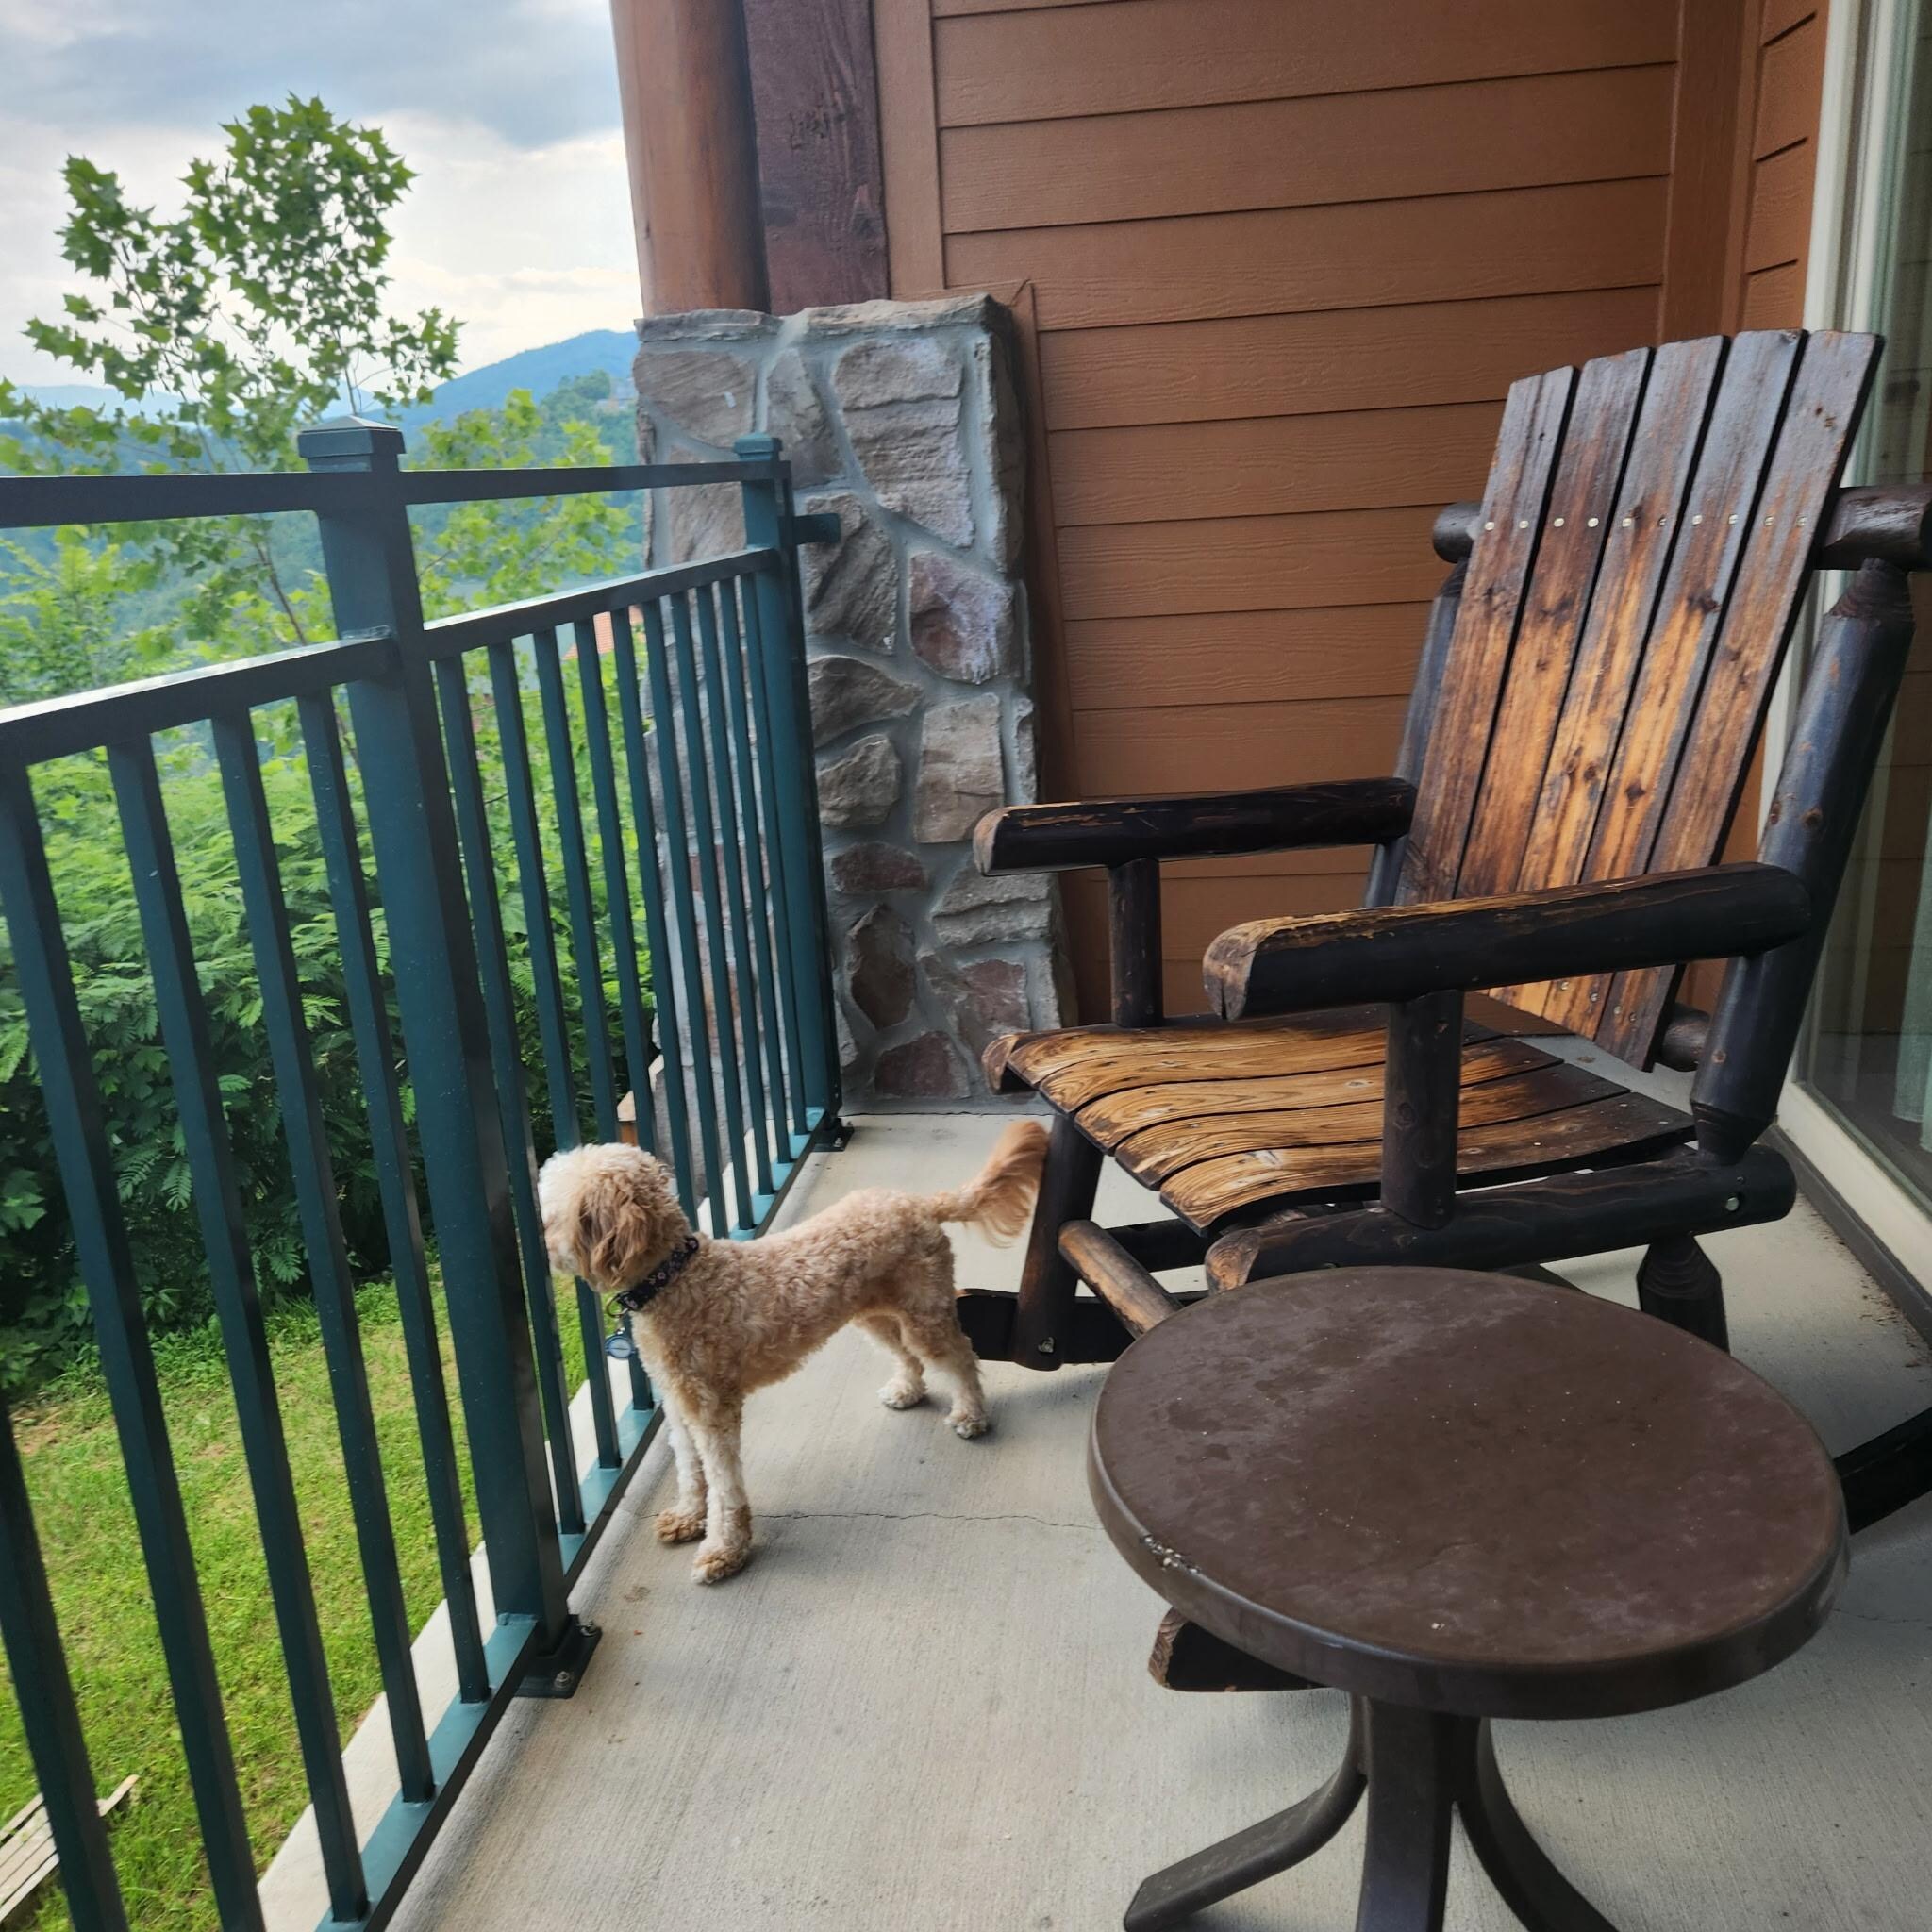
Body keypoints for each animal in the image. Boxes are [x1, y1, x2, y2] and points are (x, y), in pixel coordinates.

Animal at [538, 1120, 1048, 1583]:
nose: (536, 1246)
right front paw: (687, 1516)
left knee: (961, 1358)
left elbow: (724, 1486)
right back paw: (906, 1390)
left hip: (925, 1314)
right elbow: (689, 1468)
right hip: (875, 1316)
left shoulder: (713, 1413)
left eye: (549, 1214)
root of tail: (920, 1202)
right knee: (908, 1355)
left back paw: (971, 1416)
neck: (675, 1278)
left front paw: (724, 1551)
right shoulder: (680, 1409)